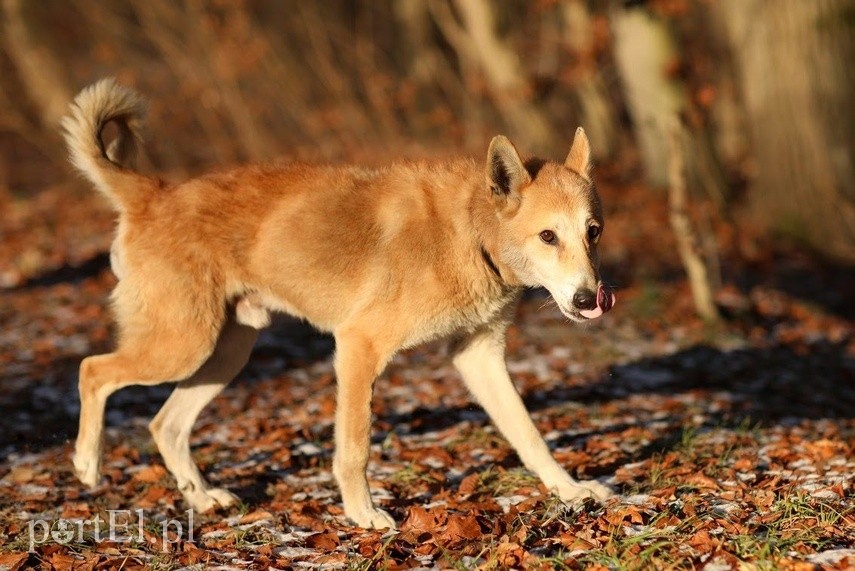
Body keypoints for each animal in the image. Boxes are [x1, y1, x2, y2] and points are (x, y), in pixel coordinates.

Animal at [63, 78, 620, 528]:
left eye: (593, 232)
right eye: (547, 236)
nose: (589, 299)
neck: (470, 233)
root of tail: (154, 194)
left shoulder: (478, 356)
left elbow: (529, 435)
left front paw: (570, 491)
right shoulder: (358, 348)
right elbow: (355, 448)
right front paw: (362, 514)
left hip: (224, 355)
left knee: (166, 426)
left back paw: (201, 499)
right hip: (182, 346)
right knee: (92, 370)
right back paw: (87, 464)